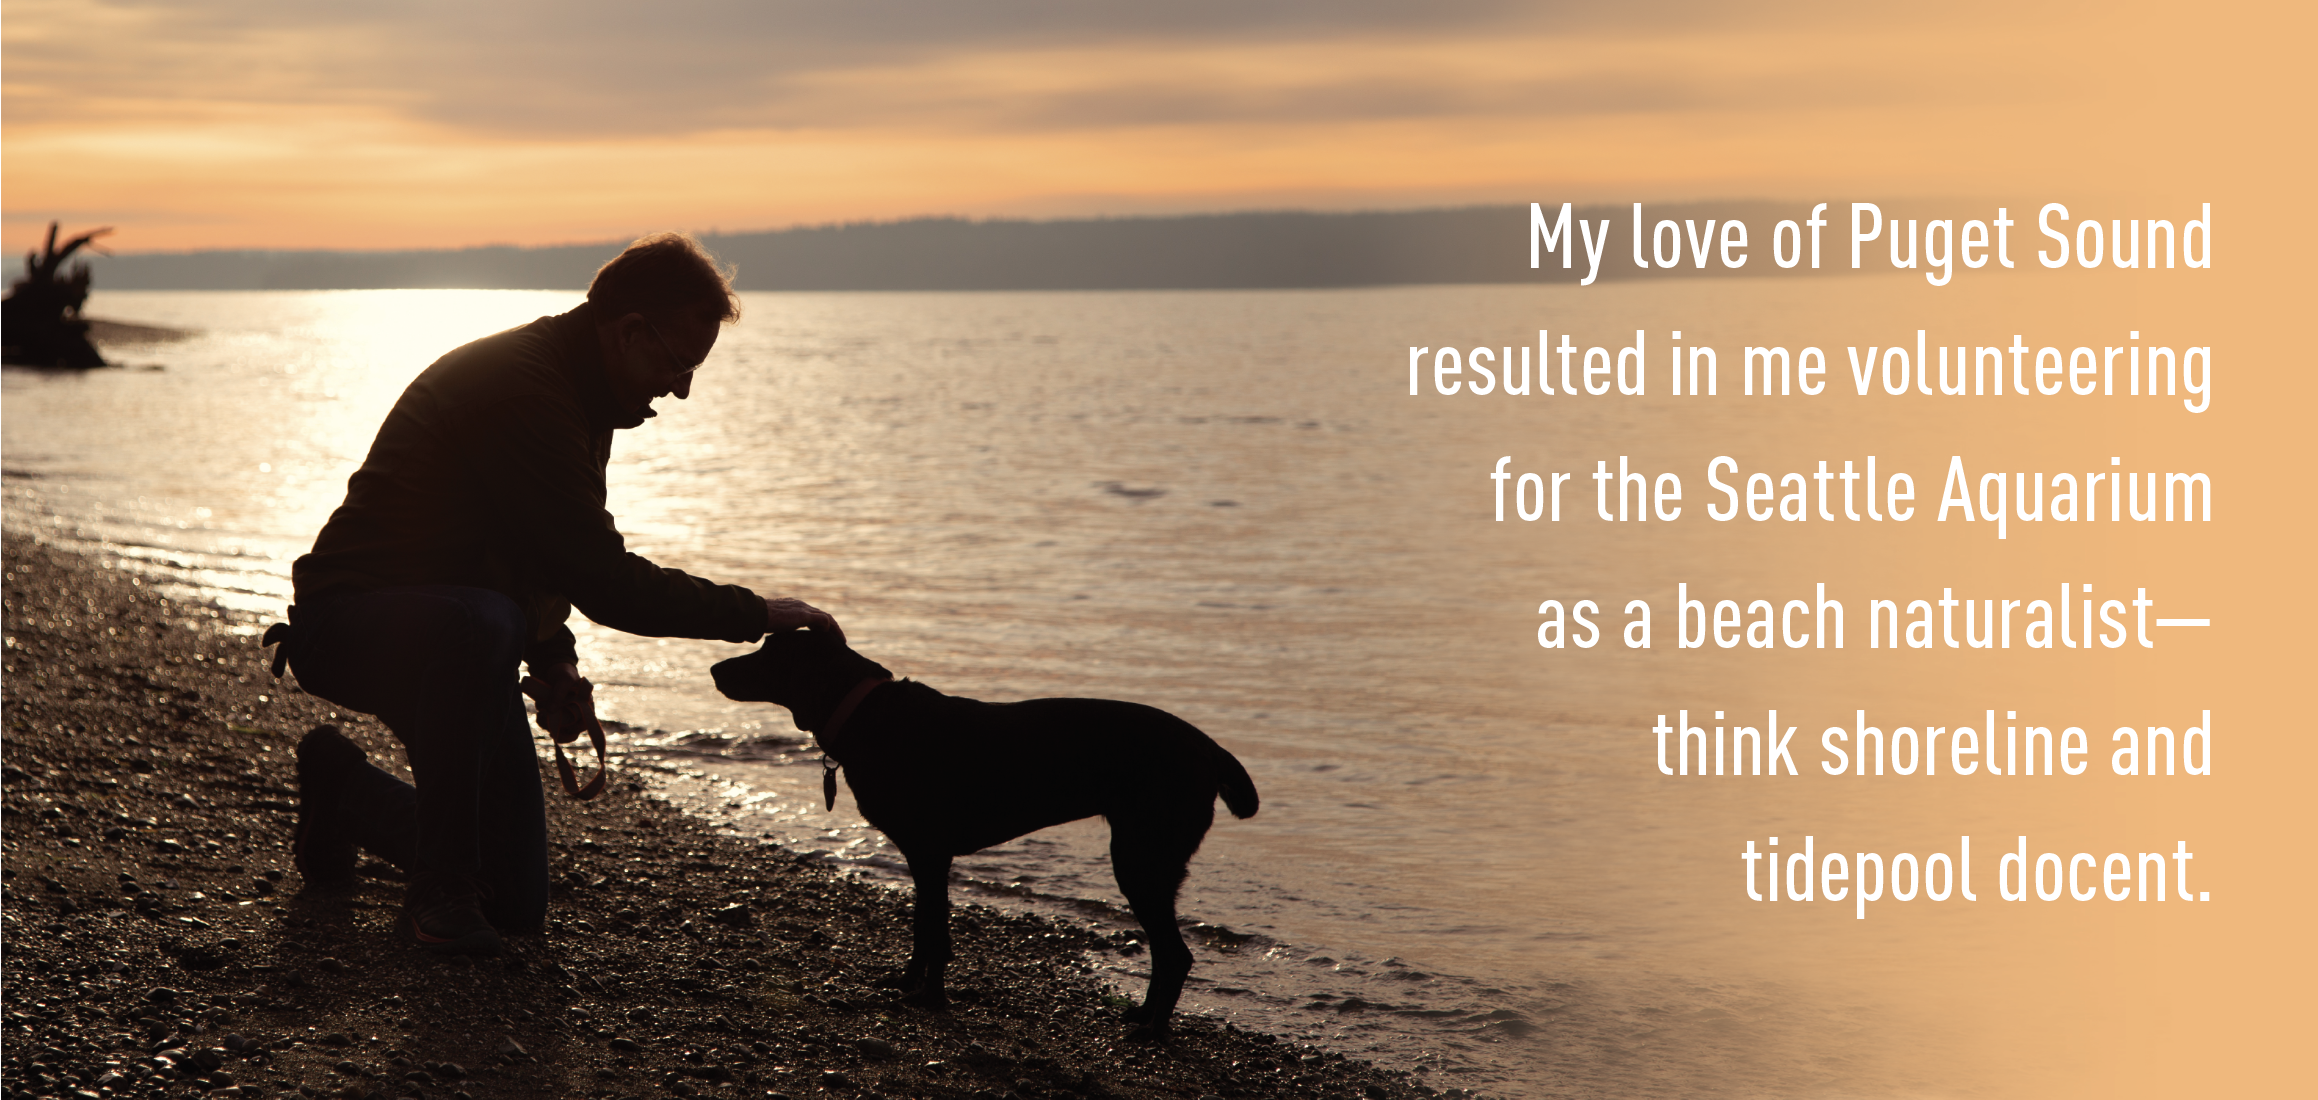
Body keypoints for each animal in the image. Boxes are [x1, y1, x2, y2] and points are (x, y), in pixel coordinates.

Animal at [713, 629, 1260, 1032]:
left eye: (771, 651)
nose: (716, 669)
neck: (866, 714)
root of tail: (1208, 748)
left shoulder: (930, 853)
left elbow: (935, 931)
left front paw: (932, 997)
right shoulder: (922, 857)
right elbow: (922, 927)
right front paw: (909, 983)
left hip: (1141, 858)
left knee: (1175, 954)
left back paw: (1150, 1028)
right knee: (1169, 954)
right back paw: (1144, 1018)